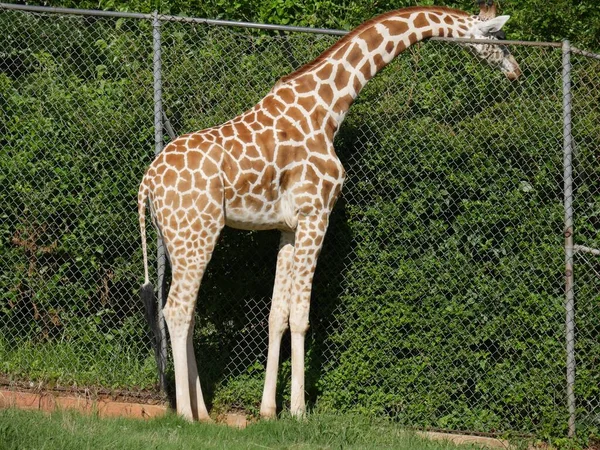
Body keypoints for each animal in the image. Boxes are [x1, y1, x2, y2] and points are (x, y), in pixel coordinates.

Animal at [137, 2, 520, 422]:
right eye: (499, 37)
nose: (516, 70)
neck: (327, 108)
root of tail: (147, 182)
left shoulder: (288, 227)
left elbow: (277, 315)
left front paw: (269, 410)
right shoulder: (317, 213)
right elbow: (302, 317)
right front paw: (300, 410)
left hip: (179, 238)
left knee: (186, 313)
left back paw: (204, 413)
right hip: (197, 232)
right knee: (177, 310)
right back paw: (187, 416)